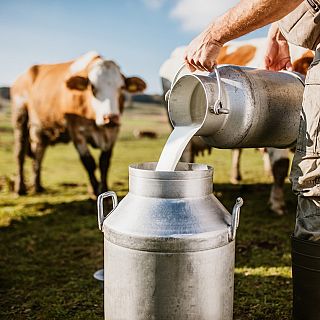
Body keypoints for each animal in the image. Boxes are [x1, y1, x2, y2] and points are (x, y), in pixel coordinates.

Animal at [11, 51, 146, 195]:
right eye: (92, 87)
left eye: (121, 87)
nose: (110, 117)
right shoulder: (76, 131)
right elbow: (89, 162)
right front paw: (94, 190)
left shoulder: (113, 132)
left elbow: (104, 161)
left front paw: (104, 188)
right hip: (20, 118)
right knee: (20, 153)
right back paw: (20, 188)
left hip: (41, 130)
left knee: (38, 155)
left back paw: (37, 186)